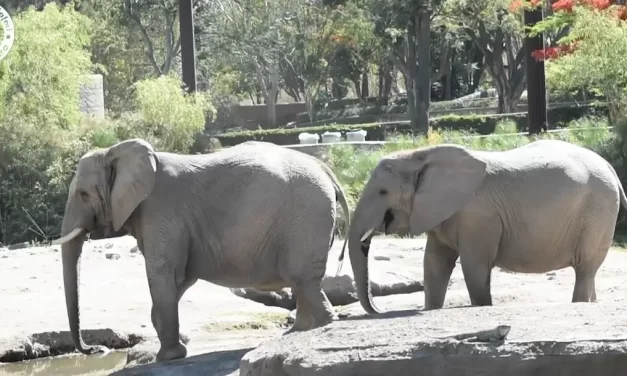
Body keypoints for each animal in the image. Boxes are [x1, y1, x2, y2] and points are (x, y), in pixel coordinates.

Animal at [51, 140, 350, 362]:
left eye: (83, 194)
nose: (97, 349)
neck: (115, 151)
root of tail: (326, 169)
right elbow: (180, 277)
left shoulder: (161, 211)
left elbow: (164, 273)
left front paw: (168, 357)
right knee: (303, 283)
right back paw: (298, 331)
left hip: (306, 216)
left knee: (303, 280)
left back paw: (316, 327)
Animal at [346, 138, 627, 314]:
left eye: (383, 192)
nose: (380, 310)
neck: (419, 154)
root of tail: (611, 169)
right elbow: (434, 265)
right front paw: (431, 309)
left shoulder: (478, 215)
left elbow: (474, 267)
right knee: (588, 272)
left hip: (597, 210)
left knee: (585, 268)